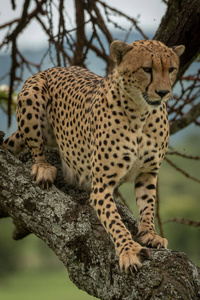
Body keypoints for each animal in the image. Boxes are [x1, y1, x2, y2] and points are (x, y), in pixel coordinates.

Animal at [3, 40, 184, 274]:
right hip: (32, 93)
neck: (141, 113)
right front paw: (128, 251)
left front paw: (149, 234)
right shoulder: (101, 186)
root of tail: (55, 68)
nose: (163, 92)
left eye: (171, 69)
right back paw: (43, 168)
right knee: (36, 148)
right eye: (147, 69)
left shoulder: (148, 173)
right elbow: (114, 220)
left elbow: (148, 205)